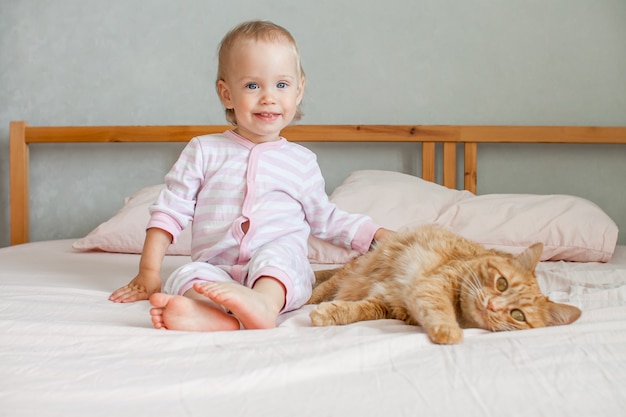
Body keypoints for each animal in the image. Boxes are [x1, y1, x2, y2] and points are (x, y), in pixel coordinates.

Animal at [308, 226, 580, 342]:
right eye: (502, 284)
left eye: (518, 315)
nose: (492, 305)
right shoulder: (432, 285)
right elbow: (439, 309)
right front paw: (449, 331)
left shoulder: (387, 304)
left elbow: (357, 310)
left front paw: (331, 313)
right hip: (353, 270)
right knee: (323, 285)